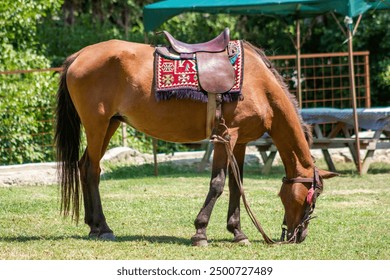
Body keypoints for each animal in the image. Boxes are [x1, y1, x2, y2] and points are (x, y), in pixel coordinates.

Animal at [55, 37, 338, 245]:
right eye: (312, 198)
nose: (299, 236)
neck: (259, 85)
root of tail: (79, 55)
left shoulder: (241, 142)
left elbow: (236, 185)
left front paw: (238, 232)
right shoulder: (226, 136)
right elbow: (218, 183)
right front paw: (200, 232)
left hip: (110, 124)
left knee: (84, 167)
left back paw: (93, 225)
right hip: (97, 125)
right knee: (93, 170)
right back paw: (103, 228)